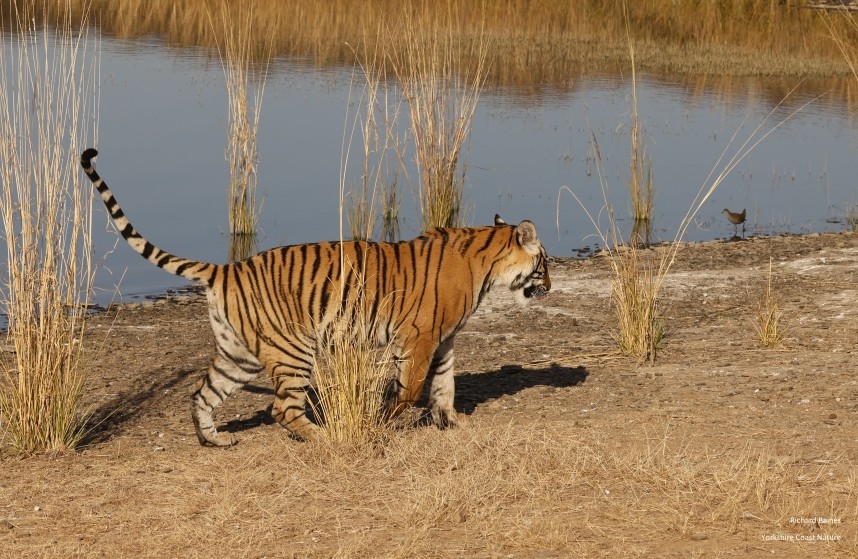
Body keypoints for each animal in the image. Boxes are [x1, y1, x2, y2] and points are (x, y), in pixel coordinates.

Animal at [80, 148, 551, 446]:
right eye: (544, 263)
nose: (549, 286)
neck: (486, 262)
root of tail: (226, 268)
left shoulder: (444, 340)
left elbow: (444, 385)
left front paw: (450, 422)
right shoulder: (418, 338)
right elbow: (412, 388)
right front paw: (386, 419)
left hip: (239, 354)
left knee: (203, 394)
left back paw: (213, 440)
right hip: (293, 350)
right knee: (282, 409)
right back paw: (325, 438)